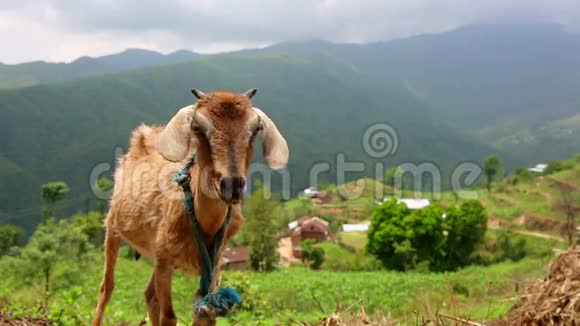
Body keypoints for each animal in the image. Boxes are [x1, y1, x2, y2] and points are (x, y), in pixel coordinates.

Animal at [92, 88, 288, 326]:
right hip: (113, 228)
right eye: (197, 127)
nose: (231, 185)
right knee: (107, 287)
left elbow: (205, 312)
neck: (203, 223)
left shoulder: (213, 265)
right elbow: (168, 316)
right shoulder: (164, 261)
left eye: (256, 129)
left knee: (149, 294)